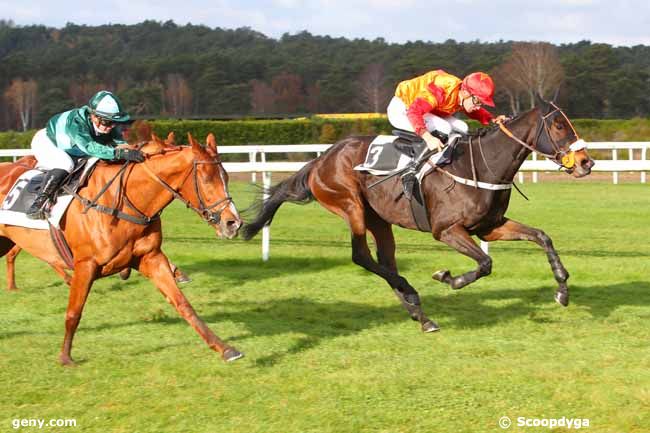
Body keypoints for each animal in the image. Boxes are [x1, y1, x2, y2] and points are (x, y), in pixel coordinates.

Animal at [0, 130, 243, 362]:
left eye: (226, 176)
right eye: (206, 178)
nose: (233, 223)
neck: (124, 202)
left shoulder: (151, 257)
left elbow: (183, 304)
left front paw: (225, 348)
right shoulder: (85, 264)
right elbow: (74, 312)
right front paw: (66, 356)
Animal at [242, 96, 592, 330]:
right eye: (558, 125)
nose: (586, 162)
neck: (483, 164)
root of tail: (320, 159)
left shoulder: (489, 227)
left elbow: (541, 237)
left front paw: (562, 290)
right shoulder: (447, 230)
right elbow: (485, 263)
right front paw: (449, 278)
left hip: (379, 219)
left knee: (384, 261)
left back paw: (420, 315)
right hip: (350, 205)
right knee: (361, 256)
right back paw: (411, 293)